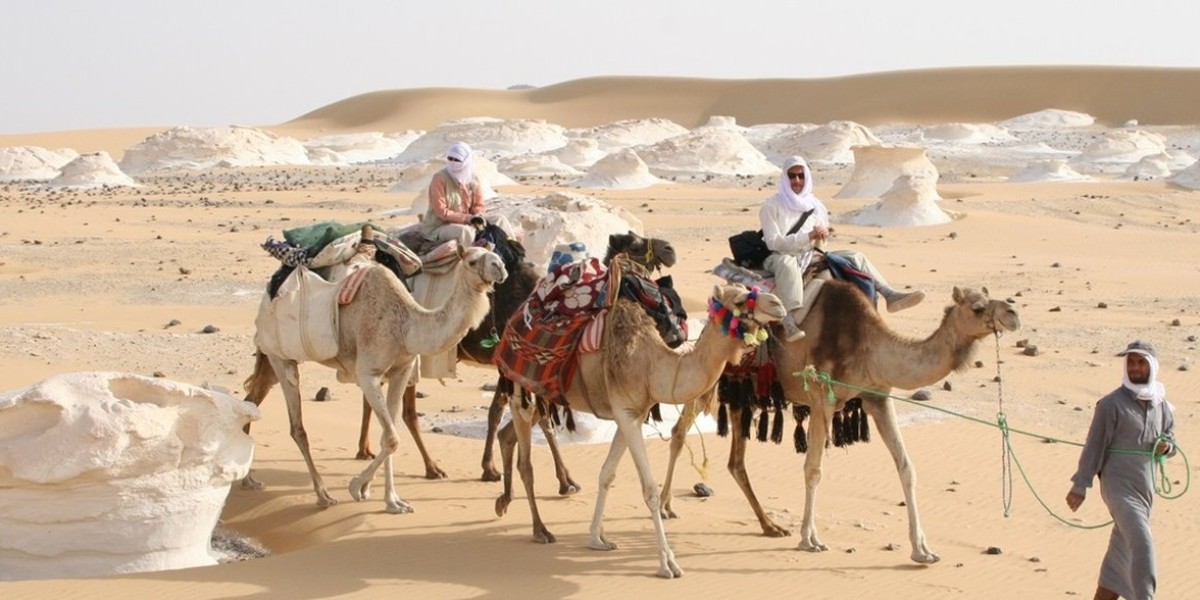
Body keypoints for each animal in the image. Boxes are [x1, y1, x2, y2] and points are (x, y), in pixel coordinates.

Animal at [243, 246, 506, 513]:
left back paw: (248, 479)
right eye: (472, 260)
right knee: (297, 427)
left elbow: (388, 436)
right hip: (280, 356)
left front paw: (393, 501)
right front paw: (357, 487)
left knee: (251, 400)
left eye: (495, 255)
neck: (407, 325)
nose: (500, 268)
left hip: (272, 359)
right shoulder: (367, 373)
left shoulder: (401, 370)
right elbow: (391, 438)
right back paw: (323, 494)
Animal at [352, 229, 676, 496]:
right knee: (406, 411)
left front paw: (491, 468)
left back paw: (365, 450)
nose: (670, 249)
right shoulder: (513, 365)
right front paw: (564, 480)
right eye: (635, 244)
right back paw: (431, 467)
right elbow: (534, 418)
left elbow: (499, 412)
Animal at [494, 283, 787, 578]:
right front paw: (667, 563)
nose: (778, 304)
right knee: (525, 462)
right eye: (739, 300)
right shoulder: (625, 413)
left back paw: (503, 502)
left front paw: (597, 538)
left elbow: (606, 475)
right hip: (521, 390)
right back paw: (540, 529)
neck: (651, 365)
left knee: (507, 437)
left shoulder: (633, 414)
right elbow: (650, 491)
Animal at [657, 279, 1022, 561]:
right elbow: (814, 468)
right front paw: (810, 540)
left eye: (990, 298)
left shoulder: (878, 398)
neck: (870, 347)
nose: (1013, 313)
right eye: (977, 307)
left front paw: (922, 550)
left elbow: (906, 466)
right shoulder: (823, 398)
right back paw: (665, 506)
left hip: (742, 393)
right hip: (710, 379)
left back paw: (770, 526)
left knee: (734, 461)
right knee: (679, 432)